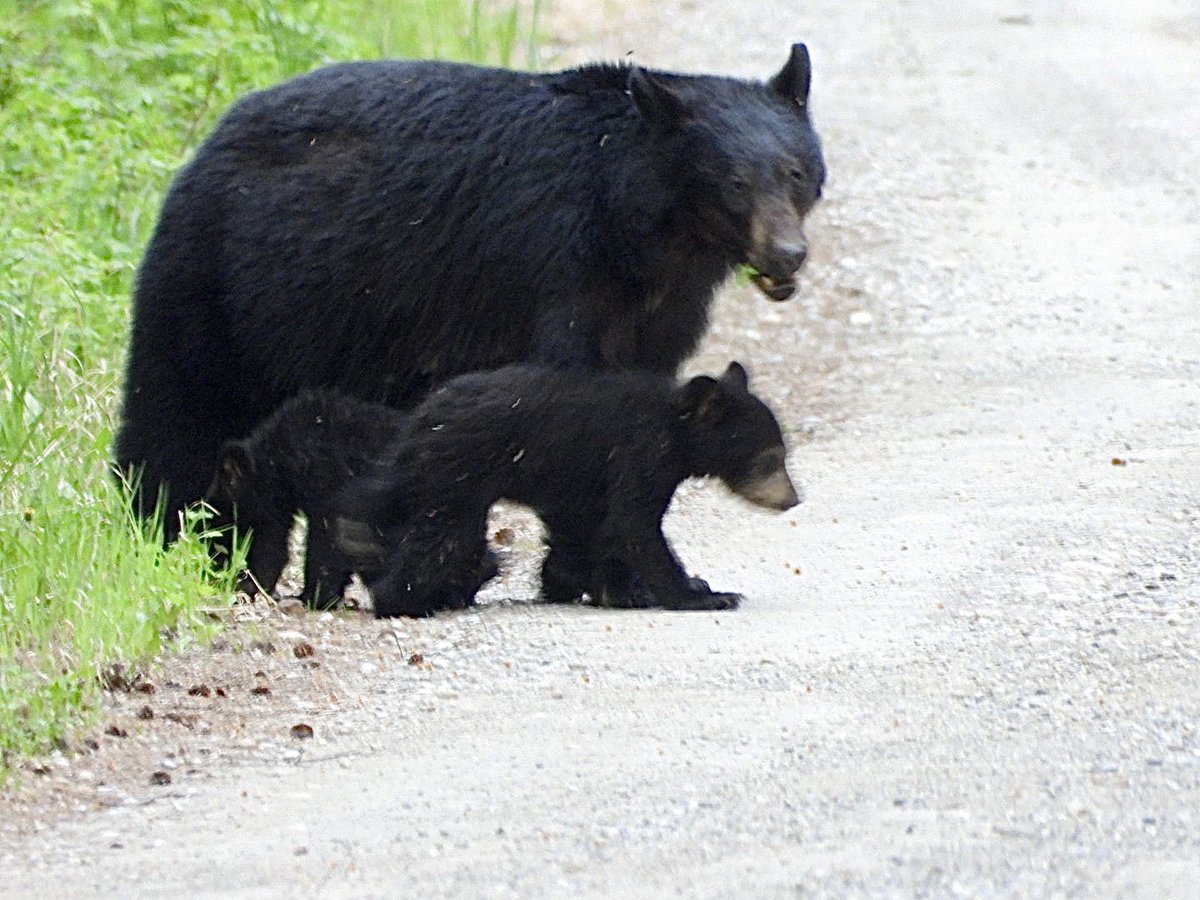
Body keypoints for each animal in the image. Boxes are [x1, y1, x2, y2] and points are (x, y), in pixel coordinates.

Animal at [114, 45, 825, 539]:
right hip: (217, 281)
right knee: (178, 409)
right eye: (734, 184)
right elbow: (569, 378)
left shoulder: (665, 305)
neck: (643, 230)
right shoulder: (558, 264)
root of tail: (204, 146)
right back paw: (164, 526)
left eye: (795, 172)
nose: (788, 253)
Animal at [335, 361, 801, 618]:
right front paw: (704, 595)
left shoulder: (586, 484)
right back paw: (404, 600)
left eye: (781, 454)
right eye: (769, 458)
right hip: (460, 471)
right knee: (438, 538)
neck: (674, 426)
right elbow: (634, 525)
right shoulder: (638, 454)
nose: (792, 499)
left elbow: (594, 528)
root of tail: (423, 417)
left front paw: (611, 588)